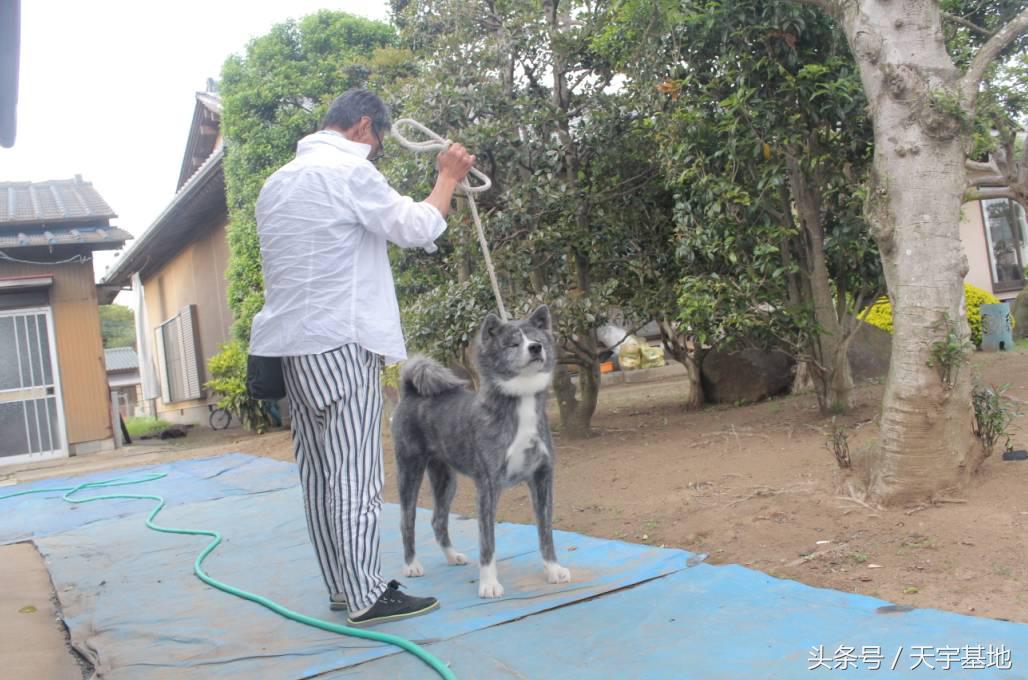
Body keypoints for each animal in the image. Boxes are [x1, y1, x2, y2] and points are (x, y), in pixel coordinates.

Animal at [390, 304, 575, 596]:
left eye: (538, 340)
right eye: (513, 343)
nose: (535, 348)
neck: (519, 402)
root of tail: (411, 391)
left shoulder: (543, 478)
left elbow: (546, 532)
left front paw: (553, 569)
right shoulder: (488, 485)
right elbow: (487, 541)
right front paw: (489, 583)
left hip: (445, 479)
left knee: (438, 520)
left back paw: (452, 556)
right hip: (409, 470)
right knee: (406, 520)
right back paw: (412, 565)